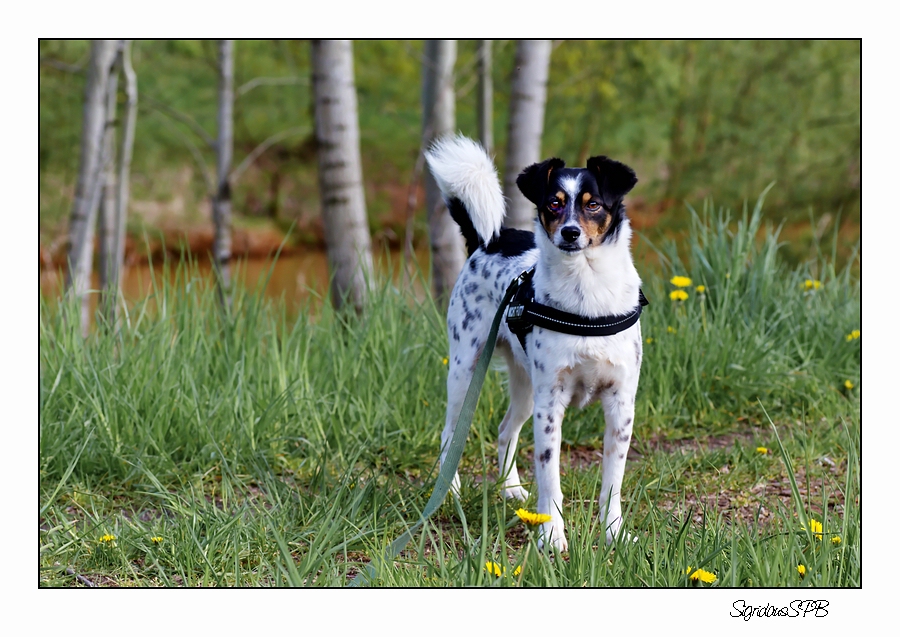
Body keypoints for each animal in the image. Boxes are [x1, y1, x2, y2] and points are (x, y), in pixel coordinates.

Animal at [426, 135, 644, 552]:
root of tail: (489, 241)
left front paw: (613, 532)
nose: (570, 233)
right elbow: (550, 480)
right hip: (465, 371)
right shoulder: (550, 406)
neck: (586, 293)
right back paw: (451, 492)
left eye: (593, 204)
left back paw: (510, 489)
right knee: (449, 433)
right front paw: (551, 535)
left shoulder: (620, 404)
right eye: (553, 204)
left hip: (525, 384)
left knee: (505, 431)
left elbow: (613, 482)